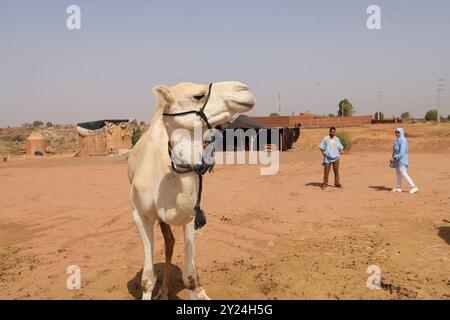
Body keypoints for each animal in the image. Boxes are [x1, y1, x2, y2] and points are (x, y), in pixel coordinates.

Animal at [128, 80, 255, 300]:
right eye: (198, 95)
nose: (243, 89)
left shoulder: (192, 216)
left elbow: (189, 277)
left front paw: (196, 289)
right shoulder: (141, 215)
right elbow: (146, 280)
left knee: (178, 251)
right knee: (169, 243)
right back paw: (163, 291)